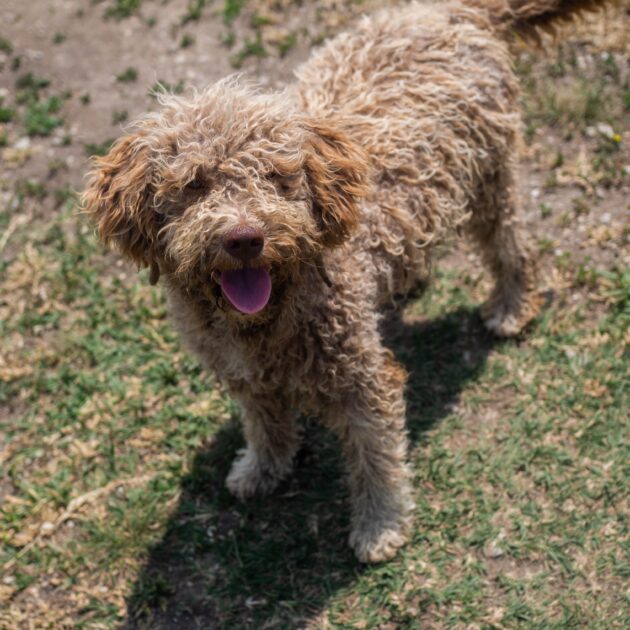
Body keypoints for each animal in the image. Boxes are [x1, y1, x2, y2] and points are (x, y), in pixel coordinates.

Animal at [82, 0, 612, 564]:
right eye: (194, 184)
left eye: (276, 177)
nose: (245, 238)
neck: (268, 317)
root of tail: (450, 12)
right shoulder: (245, 377)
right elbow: (264, 424)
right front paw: (261, 470)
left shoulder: (363, 381)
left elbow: (376, 458)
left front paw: (381, 526)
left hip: (490, 178)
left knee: (511, 245)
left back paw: (511, 305)